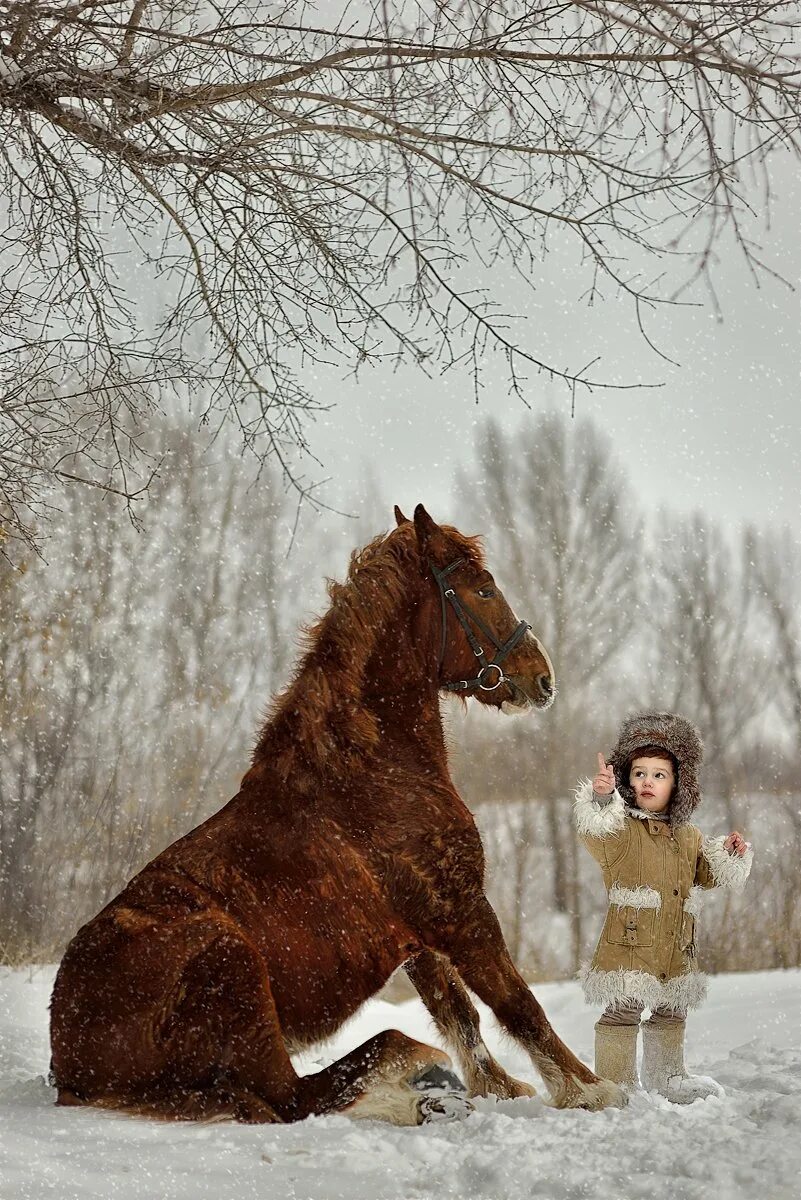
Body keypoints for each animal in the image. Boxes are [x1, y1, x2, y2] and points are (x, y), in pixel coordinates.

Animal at [50, 504, 623, 1123]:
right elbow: (516, 1003)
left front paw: (500, 1089)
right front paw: (590, 1092)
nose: (541, 677)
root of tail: (68, 1059)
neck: (371, 771)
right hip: (236, 970)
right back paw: (418, 1096)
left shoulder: (421, 935)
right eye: (484, 589)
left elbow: (458, 1010)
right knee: (302, 1092)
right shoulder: (461, 912)